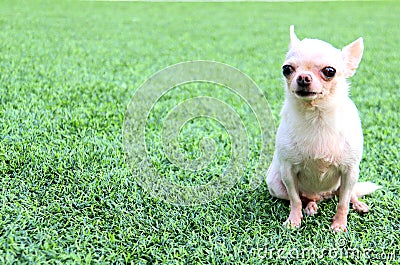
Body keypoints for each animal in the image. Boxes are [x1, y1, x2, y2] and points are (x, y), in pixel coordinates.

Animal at [268, 25, 380, 231]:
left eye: (329, 71)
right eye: (287, 69)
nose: (303, 77)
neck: (316, 116)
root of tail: (323, 195)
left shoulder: (350, 170)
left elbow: (343, 203)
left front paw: (339, 225)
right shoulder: (288, 171)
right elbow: (295, 199)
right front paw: (293, 220)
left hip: (347, 181)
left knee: (347, 194)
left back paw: (357, 203)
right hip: (275, 184)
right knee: (304, 197)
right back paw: (311, 206)